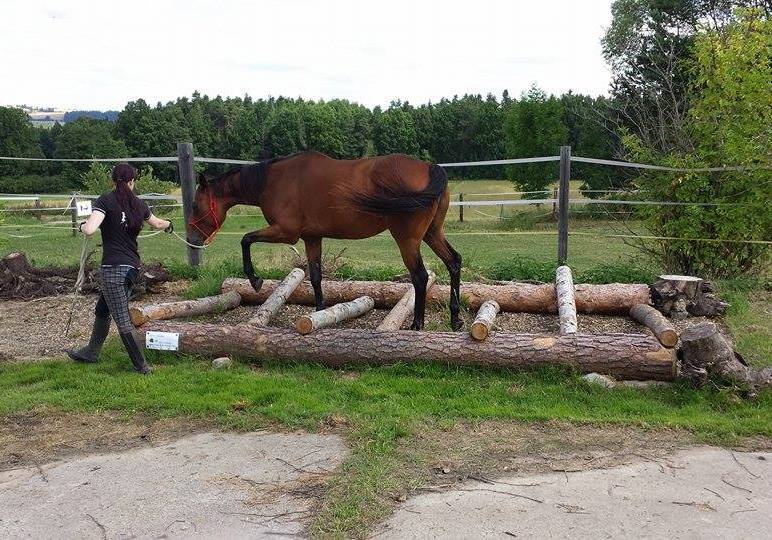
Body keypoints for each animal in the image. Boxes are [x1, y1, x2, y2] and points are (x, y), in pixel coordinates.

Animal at [187, 150, 462, 332]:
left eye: (195, 205)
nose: (191, 238)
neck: (275, 180)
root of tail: (430, 168)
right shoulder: (311, 238)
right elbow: (316, 277)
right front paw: (321, 312)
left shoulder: (285, 232)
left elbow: (246, 240)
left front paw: (255, 280)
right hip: (432, 233)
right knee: (454, 262)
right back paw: (455, 319)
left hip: (408, 240)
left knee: (420, 277)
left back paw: (417, 324)